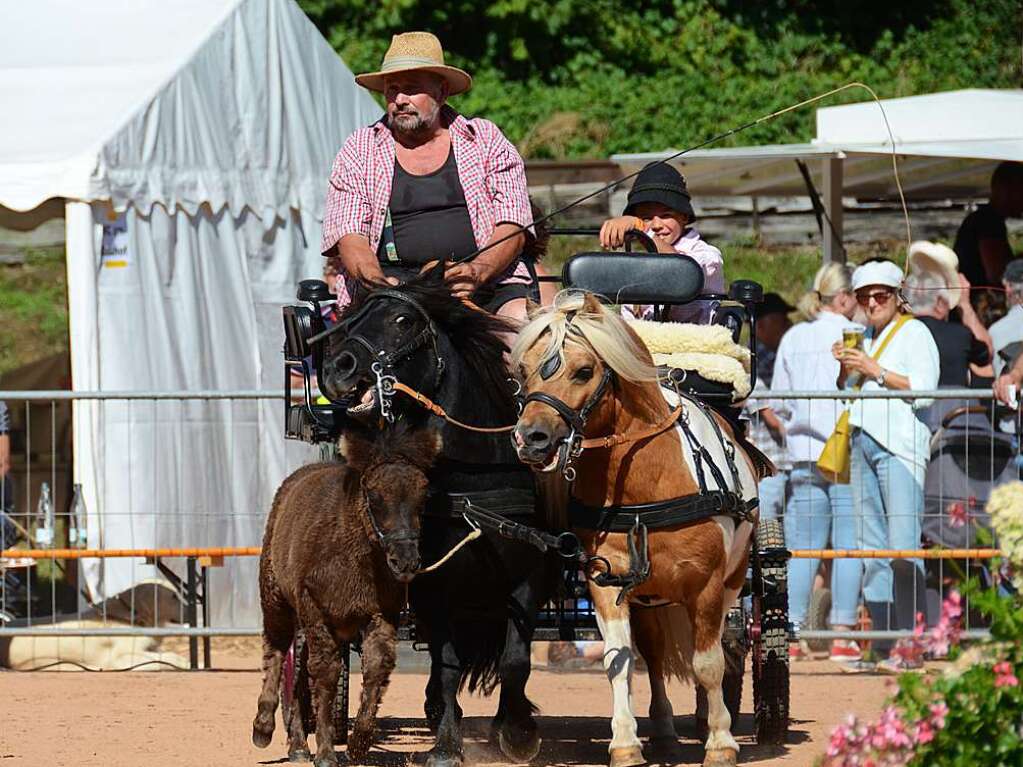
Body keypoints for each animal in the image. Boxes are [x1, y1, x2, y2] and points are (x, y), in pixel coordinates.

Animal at [251, 427, 439, 767]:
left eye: (424, 495)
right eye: (374, 495)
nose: (406, 561)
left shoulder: (381, 612)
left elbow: (376, 666)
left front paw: (358, 744)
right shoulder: (314, 606)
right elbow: (326, 672)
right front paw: (326, 751)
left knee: (300, 671)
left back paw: (298, 744)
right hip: (277, 598)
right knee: (277, 649)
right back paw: (264, 725)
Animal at [515, 290, 765, 767]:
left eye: (584, 370)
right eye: (523, 370)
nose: (530, 438)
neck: (645, 482)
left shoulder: (706, 584)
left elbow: (708, 663)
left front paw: (721, 741)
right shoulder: (606, 580)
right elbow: (620, 659)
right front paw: (626, 742)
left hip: (734, 575)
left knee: (724, 643)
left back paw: (711, 716)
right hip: (648, 594)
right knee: (653, 648)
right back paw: (664, 730)